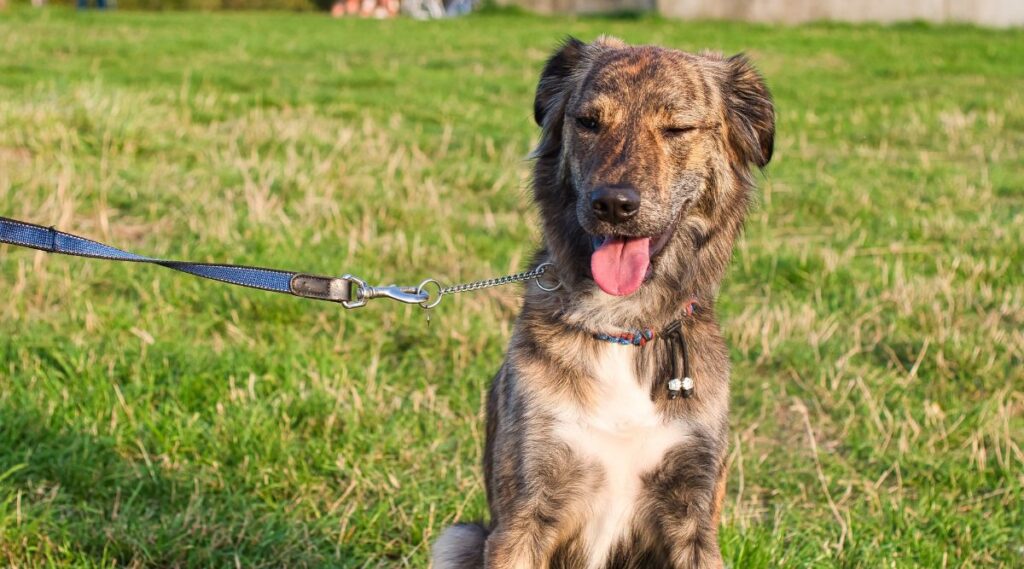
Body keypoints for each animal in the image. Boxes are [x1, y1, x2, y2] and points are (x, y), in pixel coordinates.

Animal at [428, 35, 770, 569]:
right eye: (589, 122)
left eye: (677, 128)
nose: (613, 205)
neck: (622, 329)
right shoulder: (523, 515)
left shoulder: (694, 515)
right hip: (459, 537)